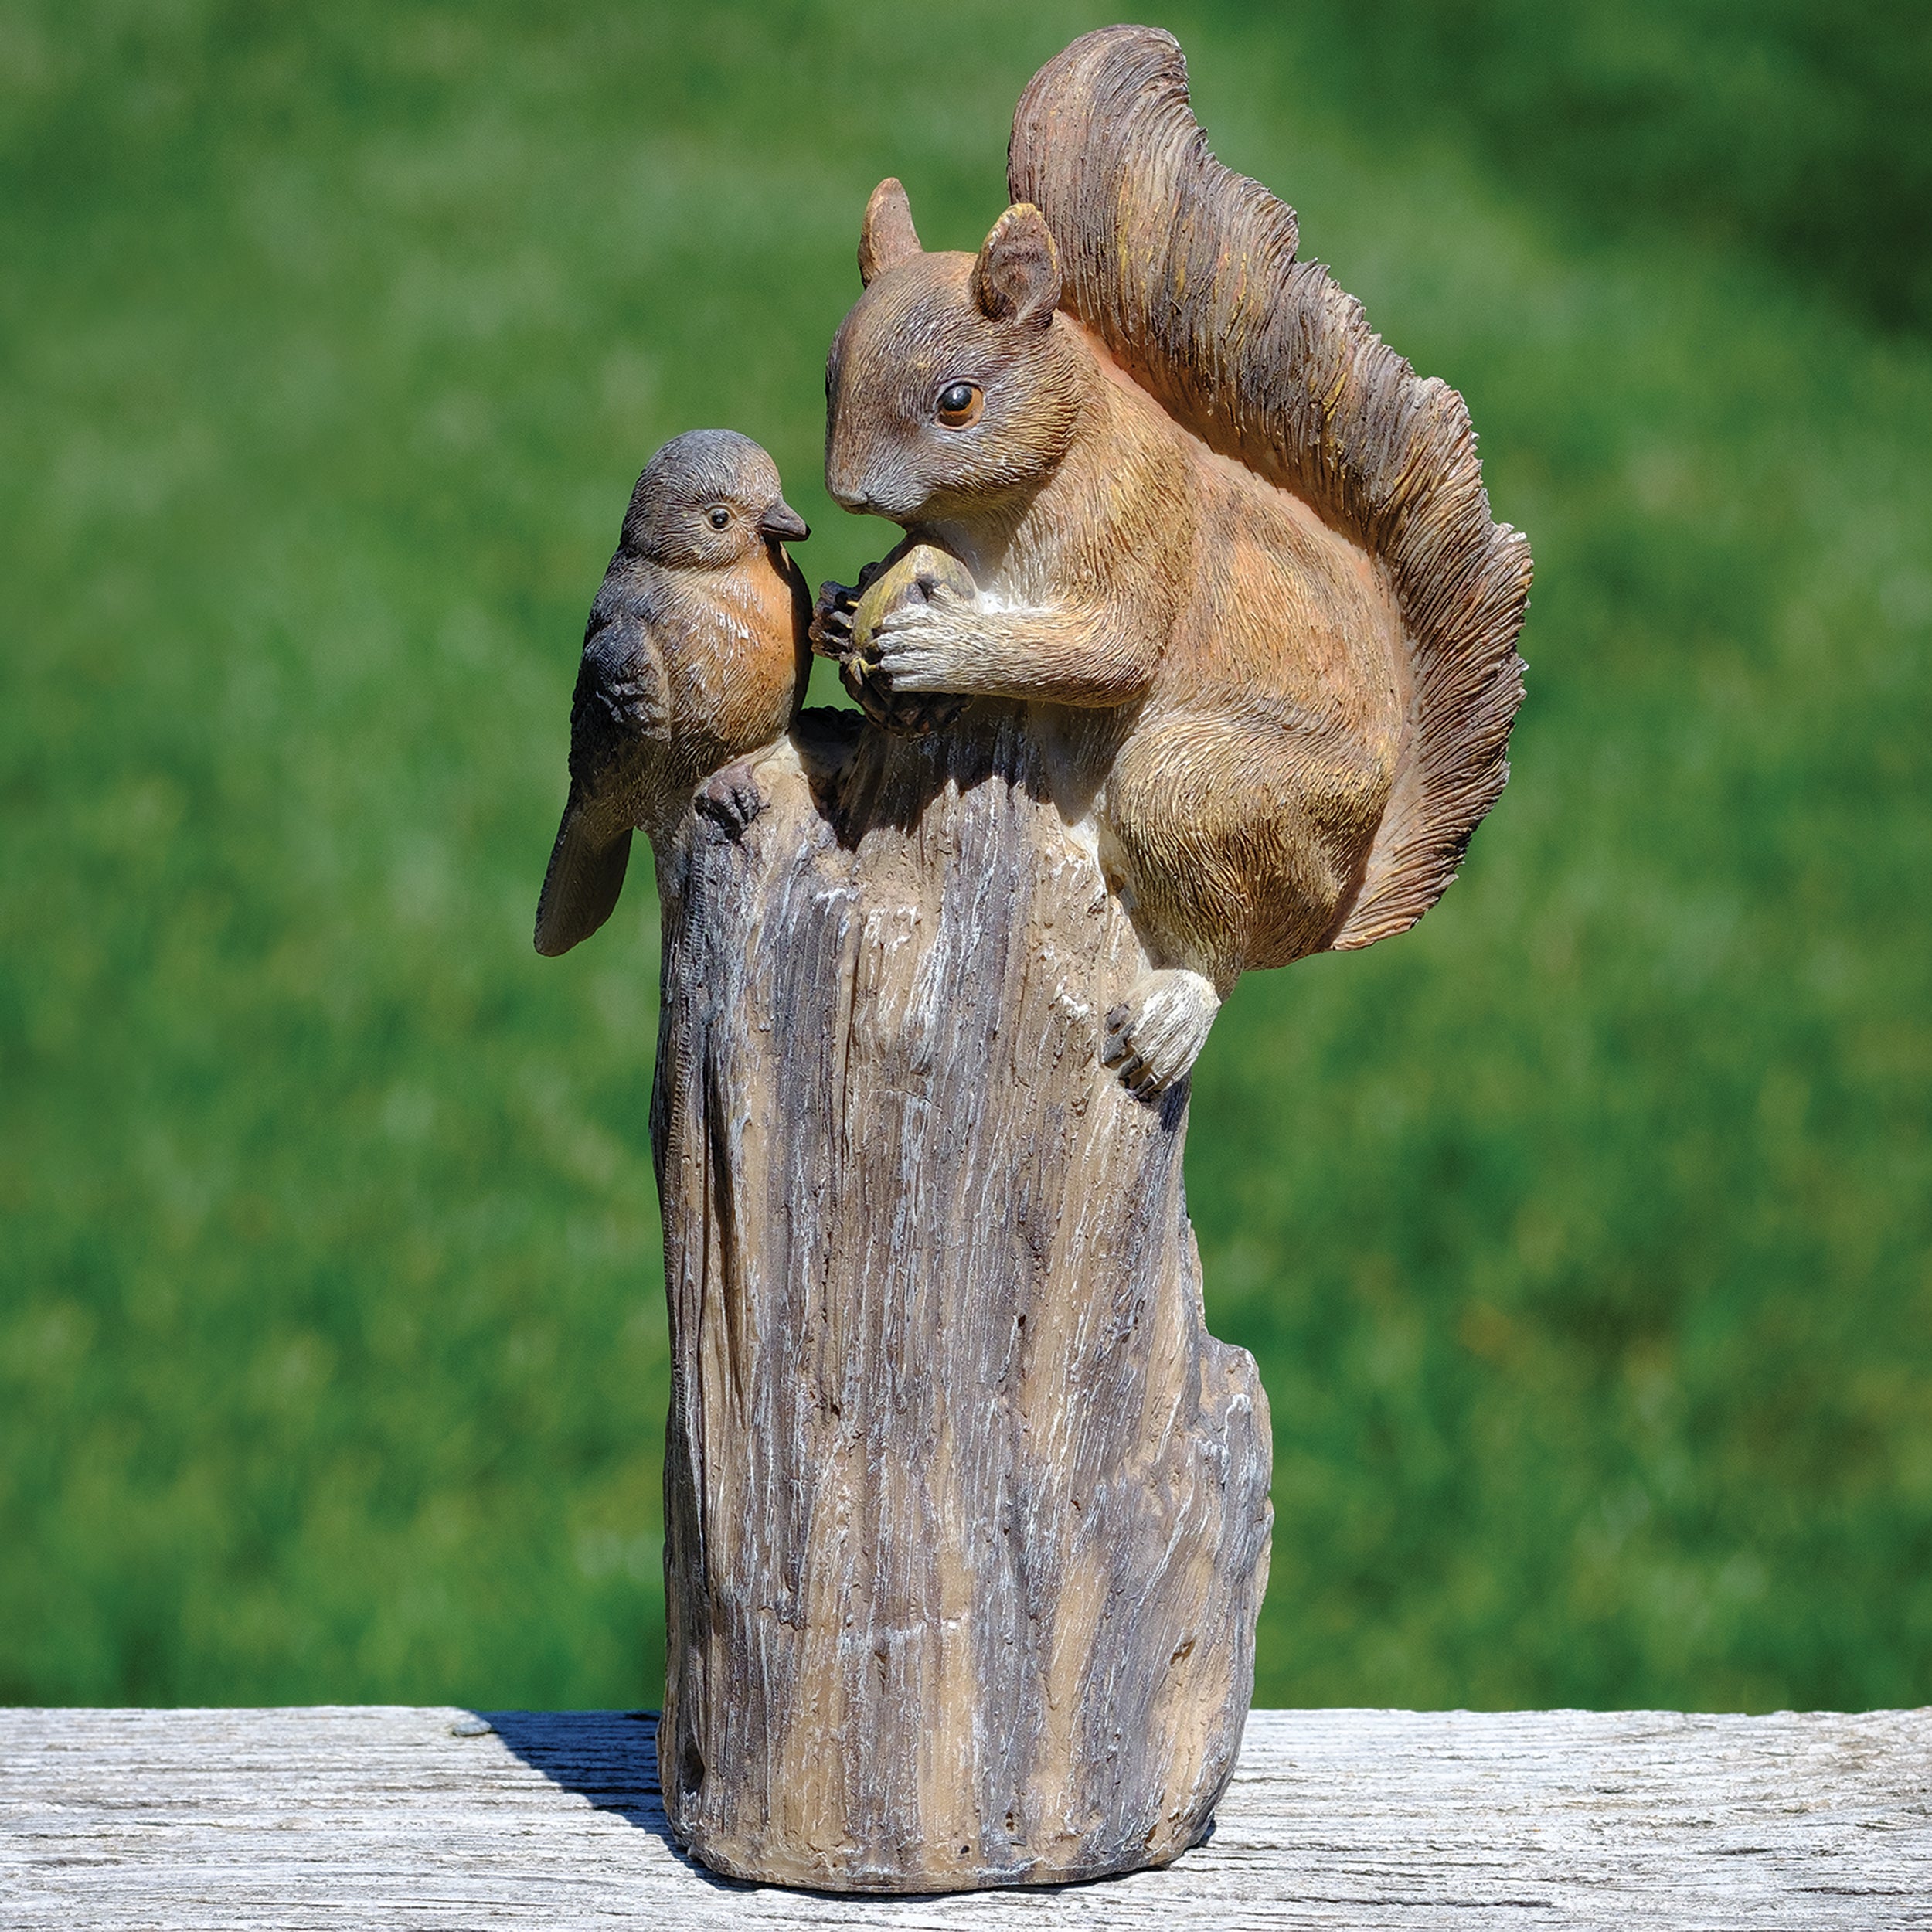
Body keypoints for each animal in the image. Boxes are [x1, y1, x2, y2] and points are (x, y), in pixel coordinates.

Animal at [813, 25, 1530, 1095]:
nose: (849, 492)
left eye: (957, 401)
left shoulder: (1136, 515)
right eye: (832, 375)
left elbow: (1108, 650)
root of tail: (1333, 905)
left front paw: (940, 646)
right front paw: (846, 601)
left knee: (1218, 948)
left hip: (1194, 789)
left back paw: (1174, 1015)